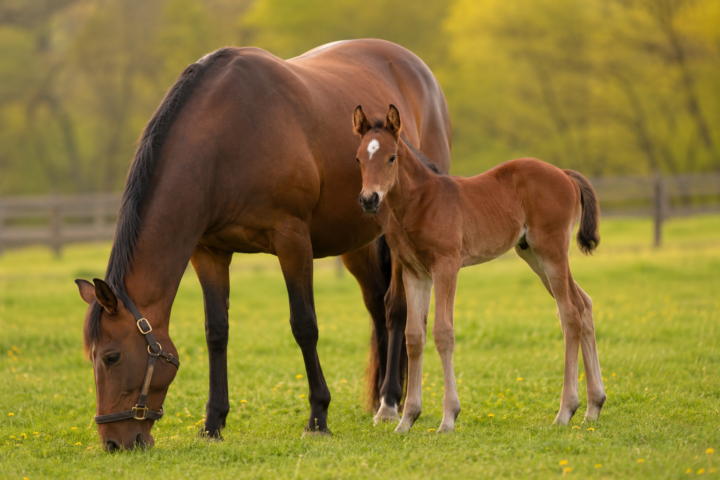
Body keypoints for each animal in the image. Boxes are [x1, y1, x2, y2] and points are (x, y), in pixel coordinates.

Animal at [74, 40, 451, 451]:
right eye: (91, 357)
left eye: (111, 357)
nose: (113, 442)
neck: (226, 138)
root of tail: (417, 69)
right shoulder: (209, 252)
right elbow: (216, 331)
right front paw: (213, 422)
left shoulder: (292, 239)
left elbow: (304, 325)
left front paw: (318, 416)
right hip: (357, 244)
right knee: (377, 306)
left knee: (397, 309)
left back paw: (389, 403)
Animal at [352, 104, 606, 433]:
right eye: (359, 158)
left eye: (391, 157)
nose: (369, 199)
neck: (420, 201)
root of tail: (564, 174)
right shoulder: (414, 272)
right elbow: (414, 337)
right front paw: (407, 420)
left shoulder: (446, 265)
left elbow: (443, 332)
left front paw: (448, 418)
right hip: (533, 256)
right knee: (583, 303)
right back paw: (594, 406)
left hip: (551, 252)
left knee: (570, 314)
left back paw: (566, 411)